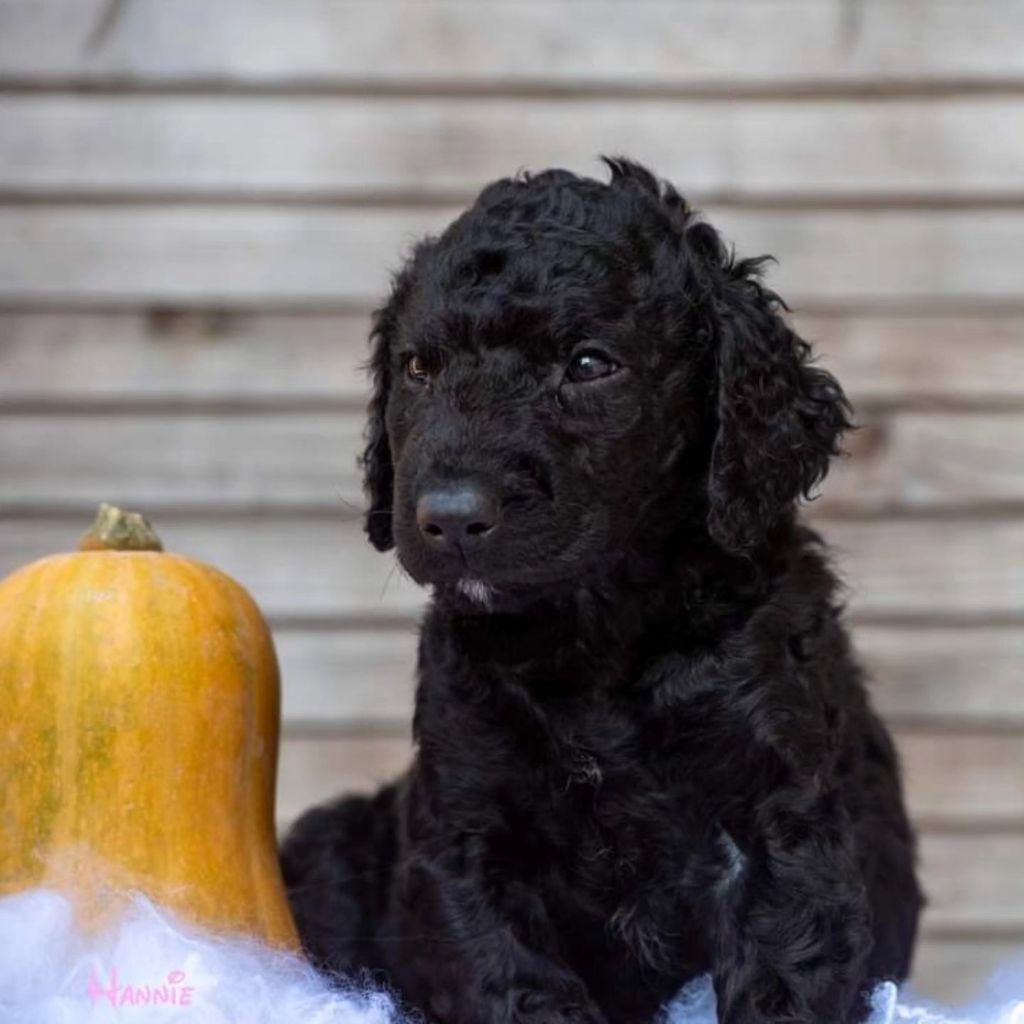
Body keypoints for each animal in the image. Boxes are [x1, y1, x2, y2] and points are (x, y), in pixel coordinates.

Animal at [282, 157, 929, 1024]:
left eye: (589, 366)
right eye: (419, 368)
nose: (448, 517)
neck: (592, 636)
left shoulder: (780, 823)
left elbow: (782, 976)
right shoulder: (468, 836)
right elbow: (519, 984)